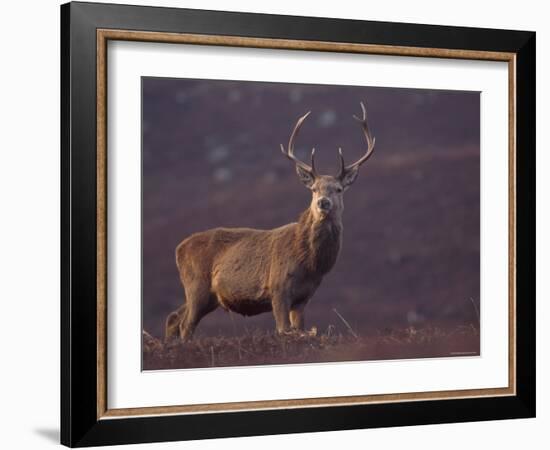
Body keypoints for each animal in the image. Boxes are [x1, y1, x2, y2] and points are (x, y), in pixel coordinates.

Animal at [164, 102, 378, 342]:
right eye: (314, 189)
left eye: (339, 189)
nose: (323, 202)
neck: (311, 264)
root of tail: (179, 249)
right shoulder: (278, 287)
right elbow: (283, 330)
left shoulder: (304, 297)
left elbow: (299, 328)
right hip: (196, 285)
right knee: (186, 324)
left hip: (208, 296)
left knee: (174, 317)